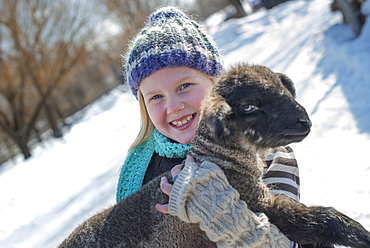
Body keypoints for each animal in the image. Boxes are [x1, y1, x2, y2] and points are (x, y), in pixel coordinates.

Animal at [57, 64, 370, 248]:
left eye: (284, 89)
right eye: (248, 107)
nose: (304, 120)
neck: (221, 159)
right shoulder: (260, 205)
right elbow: (318, 219)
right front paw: (359, 235)